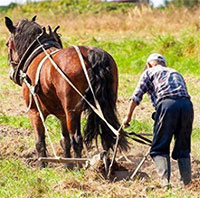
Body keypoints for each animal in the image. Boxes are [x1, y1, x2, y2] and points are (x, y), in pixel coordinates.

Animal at [5, 15, 130, 167]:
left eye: (7, 44)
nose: (12, 74)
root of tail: (91, 55)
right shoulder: (62, 115)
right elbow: (64, 140)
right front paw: (67, 166)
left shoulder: (34, 112)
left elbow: (40, 141)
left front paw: (43, 165)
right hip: (104, 106)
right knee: (105, 133)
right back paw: (106, 163)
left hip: (72, 111)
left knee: (77, 139)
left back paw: (80, 166)